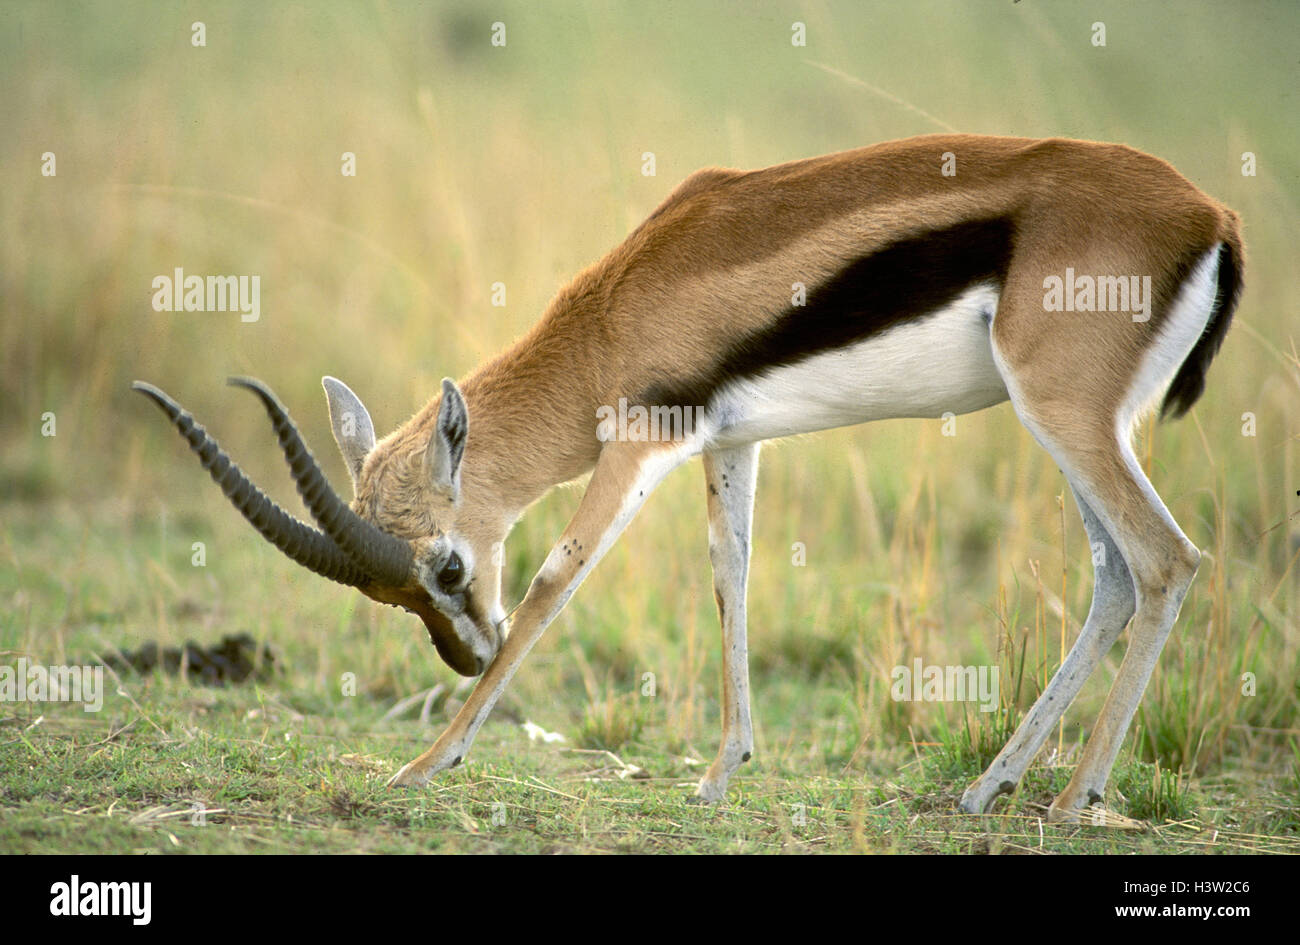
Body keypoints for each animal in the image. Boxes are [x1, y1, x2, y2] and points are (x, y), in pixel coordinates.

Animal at [135, 134, 1243, 821]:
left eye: (445, 568)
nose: (464, 654)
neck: (615, 313)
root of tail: (1212, 216)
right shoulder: (728, 443)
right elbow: (732, 576)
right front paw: (719, 776)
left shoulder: (636, 445)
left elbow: (554, 582)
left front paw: (421, 763)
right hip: (1067, 426)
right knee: (1112, 575)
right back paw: (986, 790)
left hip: (1065, 417)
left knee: (1168, 560)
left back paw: (1070, 797)